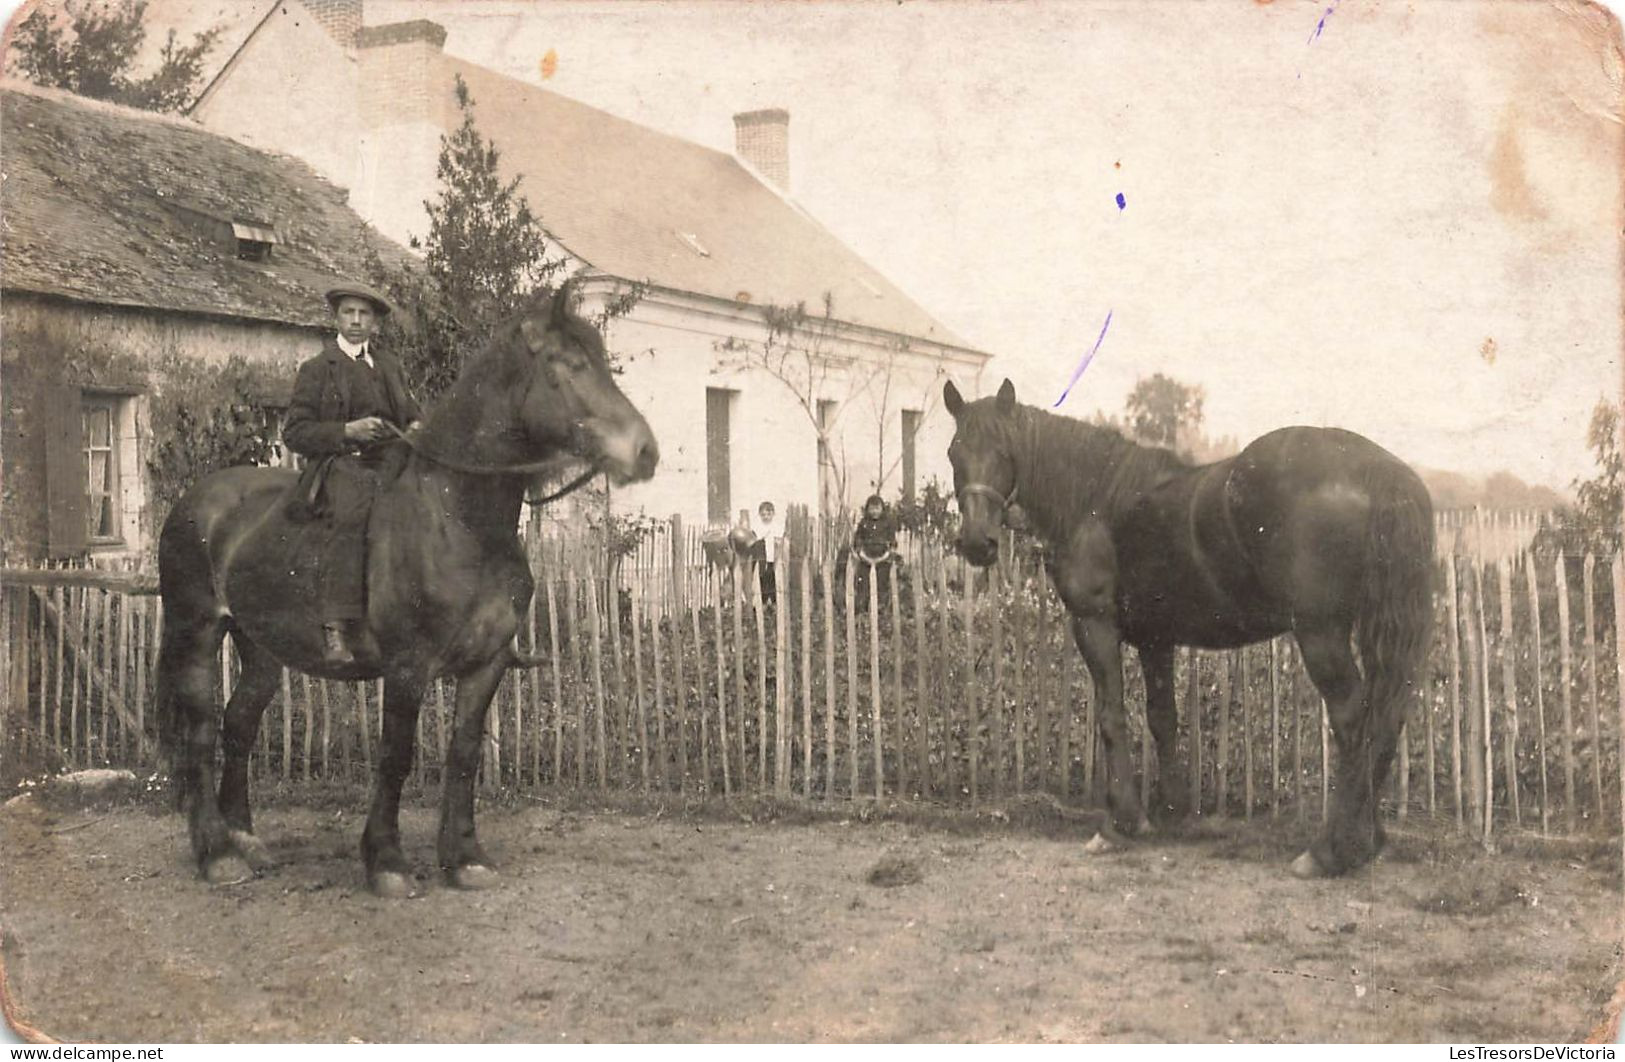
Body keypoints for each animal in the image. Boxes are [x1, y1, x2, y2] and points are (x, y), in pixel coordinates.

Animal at [155, 285, 656, 896]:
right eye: (570, 366)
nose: (645, 452)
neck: (459, 519)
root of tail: (195, 501)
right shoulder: (407, 666)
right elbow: (396, 755)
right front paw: (387, 861)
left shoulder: (487, 664)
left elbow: (464, 754)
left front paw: (465, 857)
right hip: (197, 631)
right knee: (202, 732)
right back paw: (217, 854)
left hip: (261, 646)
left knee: (240, 722)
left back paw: (245, 837)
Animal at [942, 378, 1436, 876]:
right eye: (954, 452)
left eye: (1004, 450)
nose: (976, 543)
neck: (1096, 498)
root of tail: (1378, 469)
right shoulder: (1155, 638)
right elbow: (1163, 717)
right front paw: (1169, 812)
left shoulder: (1095, 625)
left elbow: (1111, 716)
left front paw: (1120, 823)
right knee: (1386, 718)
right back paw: (1368, 840)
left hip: (1321, 634)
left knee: (1353, 719)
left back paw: (1330, 850)